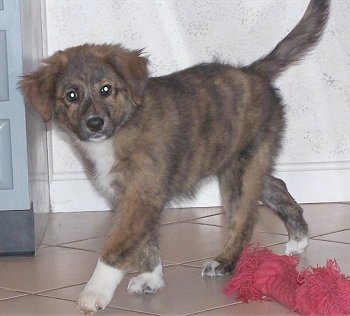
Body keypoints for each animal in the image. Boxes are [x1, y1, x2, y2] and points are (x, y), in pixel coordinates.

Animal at [21, 0, 328, 314]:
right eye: (72, 95)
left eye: (106, 89)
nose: (95, 124)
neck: (121, 129)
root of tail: (253, 72)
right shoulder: (133, 198)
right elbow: (146, 242)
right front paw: (151, 278)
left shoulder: (140, 196)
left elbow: (117, 246)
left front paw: (95, 291)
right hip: (243, 164)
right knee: (277, 185)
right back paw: (298, 240)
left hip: (239, 174)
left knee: (244, 219)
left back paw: (225, 261)